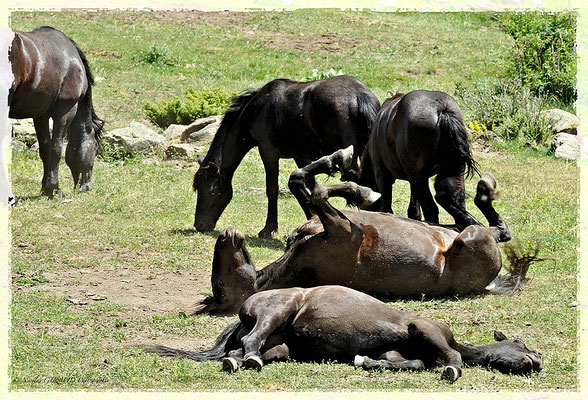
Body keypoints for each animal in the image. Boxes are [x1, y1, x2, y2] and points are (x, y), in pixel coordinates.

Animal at [8, 25, 103, 198]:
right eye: (94, 149)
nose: (87, 187)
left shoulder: (40, 115)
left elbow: (45, 150)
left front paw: (46, 189)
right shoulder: (66, 112)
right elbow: (57, 148)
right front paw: (55, 189)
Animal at [191, 75, 378, 238]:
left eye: (205, 188)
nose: (199, 225)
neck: (256, 109)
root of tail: (359, 95)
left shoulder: (268, 152)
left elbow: (272, 189)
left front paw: (268, 229)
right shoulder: (301, 156)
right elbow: (310, 185)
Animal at [194, 145, 528, 318]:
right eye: (220, 284)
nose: (226, 235)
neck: (298, 255)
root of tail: (490, 284)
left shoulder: (322, 219)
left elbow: (300, 180)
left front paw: (340, 164)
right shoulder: (345, 232)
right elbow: (319, 194)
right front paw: (363, 191)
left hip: (457, 230)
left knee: (486, 222)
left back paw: (483, 190)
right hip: (470, 238)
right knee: (491, 229)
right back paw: (483, 192)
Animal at [360, 89, 480, 230]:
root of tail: (441, 109)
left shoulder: (381, 173)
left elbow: (387, 205)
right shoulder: (413, 179)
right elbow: (414, 207)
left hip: (418, 177)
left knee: (431, 208)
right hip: (452, 171)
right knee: (454, 200)